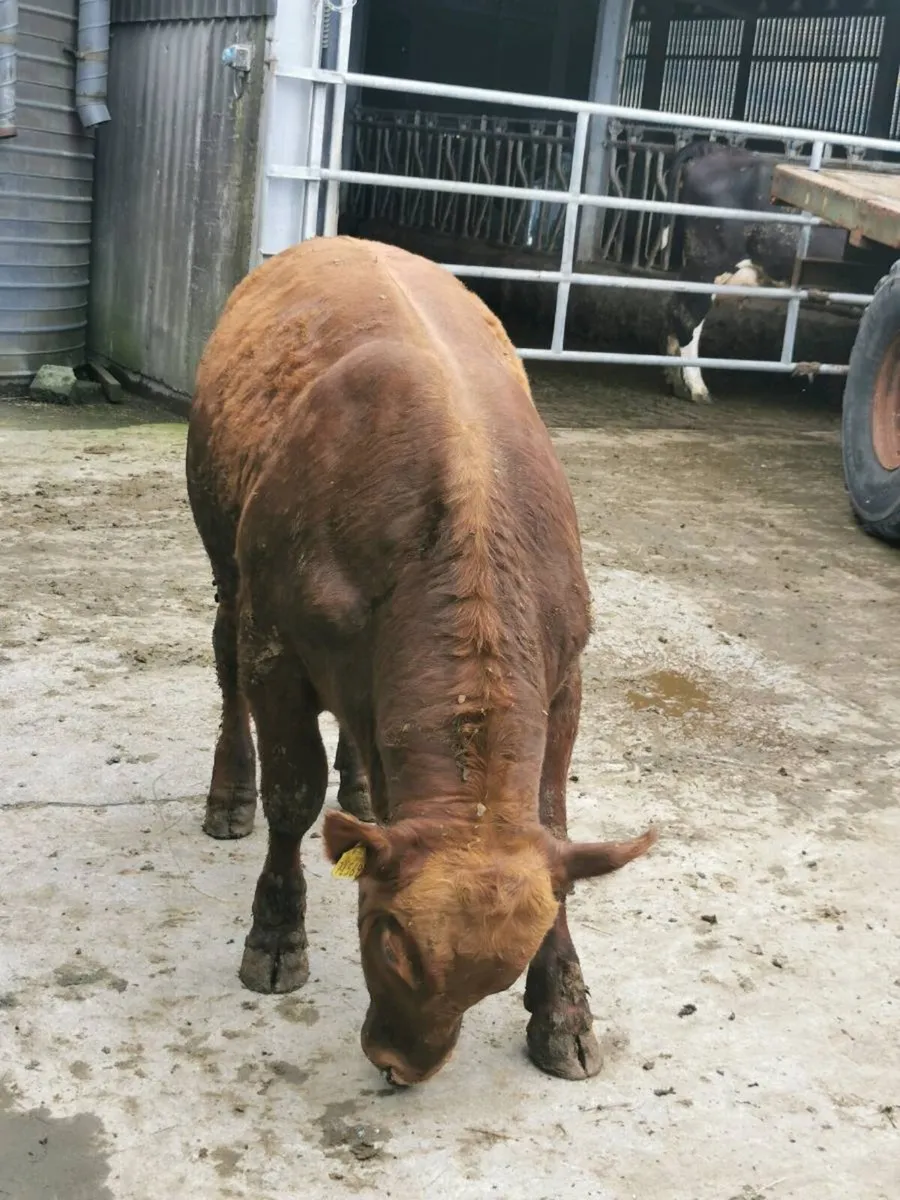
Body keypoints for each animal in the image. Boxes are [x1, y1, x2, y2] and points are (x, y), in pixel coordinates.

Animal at [185, 236, 655, 1086]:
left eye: (504, 971)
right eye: (390, 940)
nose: (399, 1063)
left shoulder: (566, 675)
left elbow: (553, 823)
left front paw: (564, 1008)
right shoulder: (276, 645)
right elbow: (293, 796)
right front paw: (275, 937)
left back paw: (366, 791)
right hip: (226, 568)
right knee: (225, 670)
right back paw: (229, 793)